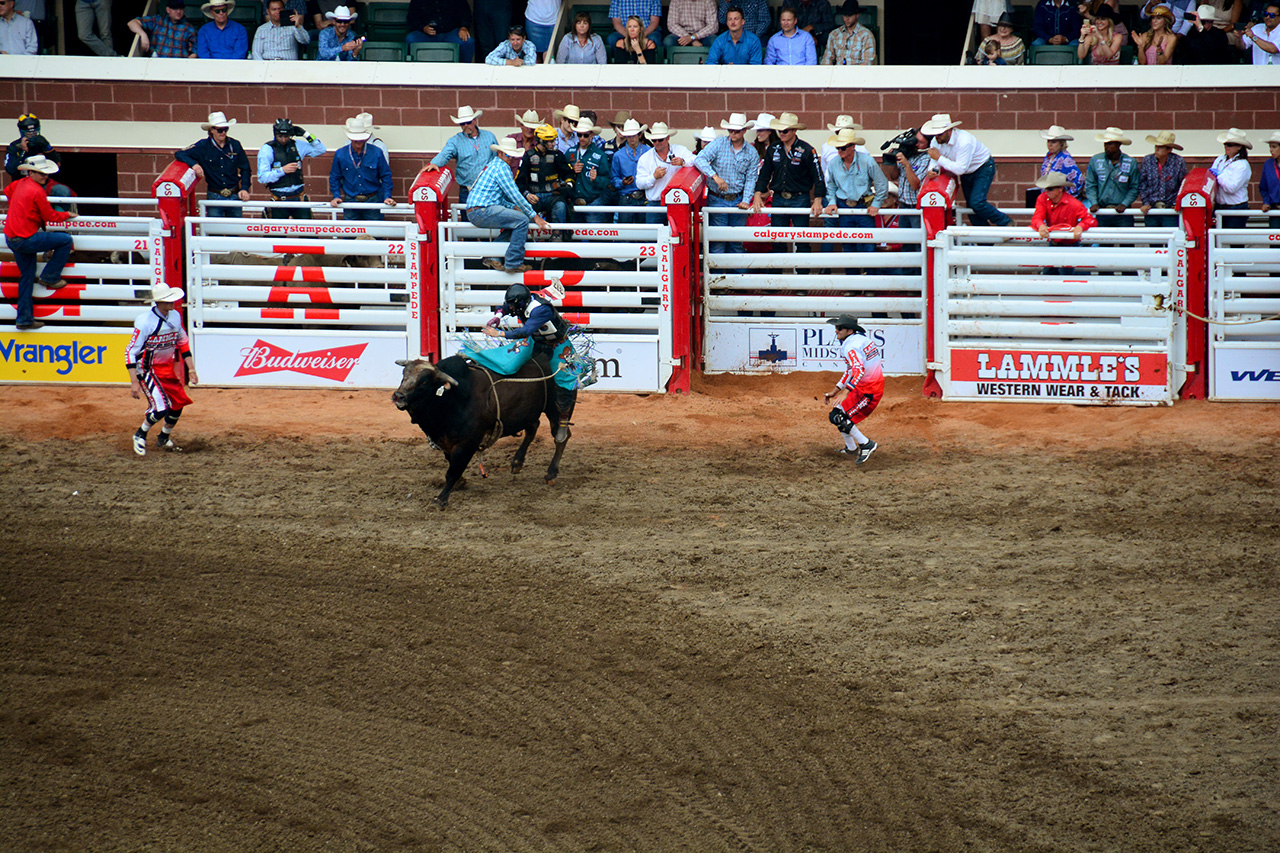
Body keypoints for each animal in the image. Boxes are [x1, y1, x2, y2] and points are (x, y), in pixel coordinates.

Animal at [386, 350, 573, 504]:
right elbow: (451, 464)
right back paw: (517, 462)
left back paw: (551, 473)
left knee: (561, 436)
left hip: (556, 409)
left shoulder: (467, 443)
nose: (398, 396)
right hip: (528, 413)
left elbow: (453, 470)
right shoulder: (446, 441)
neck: (452, 399)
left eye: (424, 382)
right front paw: (459, 483)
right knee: (533, 428)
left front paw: (442, 498)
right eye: (404, 374)